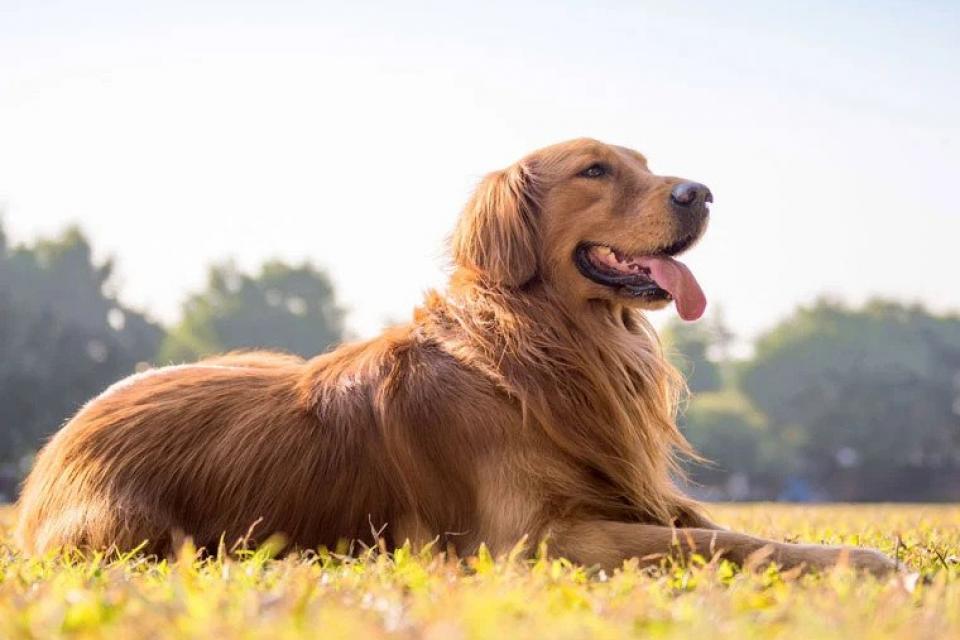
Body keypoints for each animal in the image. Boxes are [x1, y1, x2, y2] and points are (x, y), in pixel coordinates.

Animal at [15, 140, 896, 576]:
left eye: (648, 166)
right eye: (596, 170)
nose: (702, 193)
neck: (549, 346)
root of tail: (52, 452)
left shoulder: (629, 496)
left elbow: (732, 529)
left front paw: (854, 554)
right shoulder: (536, 541)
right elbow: (716, 543)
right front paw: (868, 562)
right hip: (136, 533)